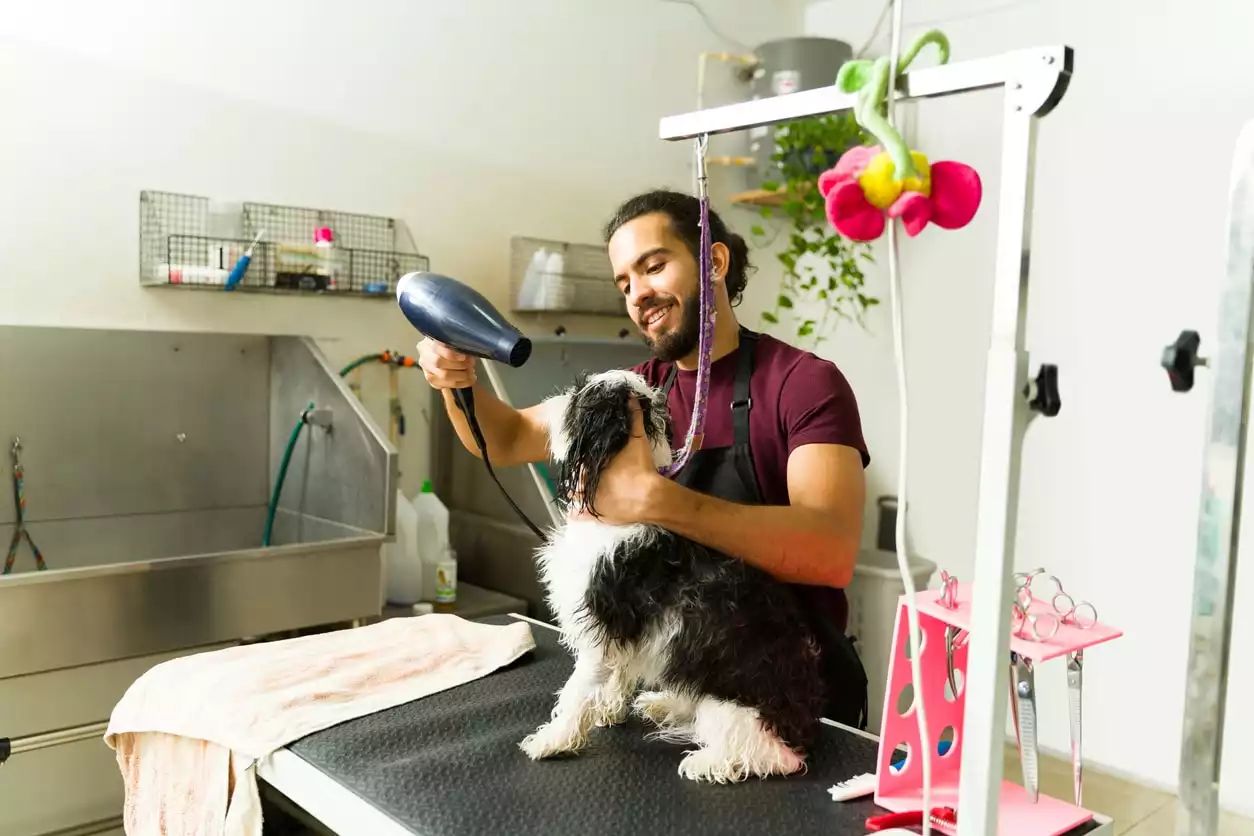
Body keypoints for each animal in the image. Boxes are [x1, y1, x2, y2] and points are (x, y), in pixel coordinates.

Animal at [514, 368, 827, 782]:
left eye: (579, 394)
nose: (551, 401)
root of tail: (802, 729)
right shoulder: (623, 636)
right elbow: (617, 675)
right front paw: (608, 709)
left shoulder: (600, 628)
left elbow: (577, 690)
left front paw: (554, 739)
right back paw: (665, 705)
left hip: (731, 707)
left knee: (774, 758)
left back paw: (708, 762)